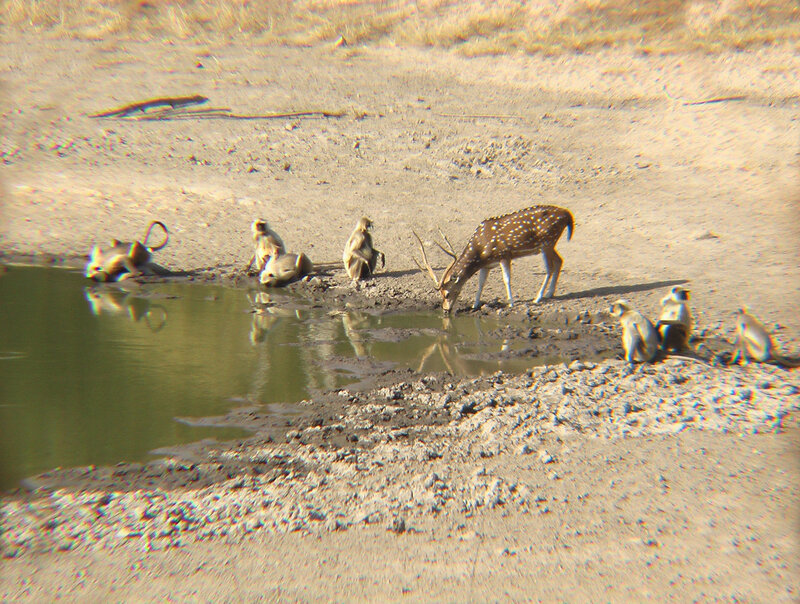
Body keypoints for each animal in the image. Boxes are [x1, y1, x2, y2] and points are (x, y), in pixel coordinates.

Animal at [413, 205, 573, 313]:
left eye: (447, 293)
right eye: (440, 294)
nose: (446, 309)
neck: (480, 251)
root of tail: (567, 214)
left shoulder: (504, 255)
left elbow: (506, 279)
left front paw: (510, 303)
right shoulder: (487, 265)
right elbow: (481, 283)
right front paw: (475, 305)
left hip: (547, 242)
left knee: (550, 267)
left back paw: (538, 298)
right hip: (550, 244)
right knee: (560, 261)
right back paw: (550, 293)